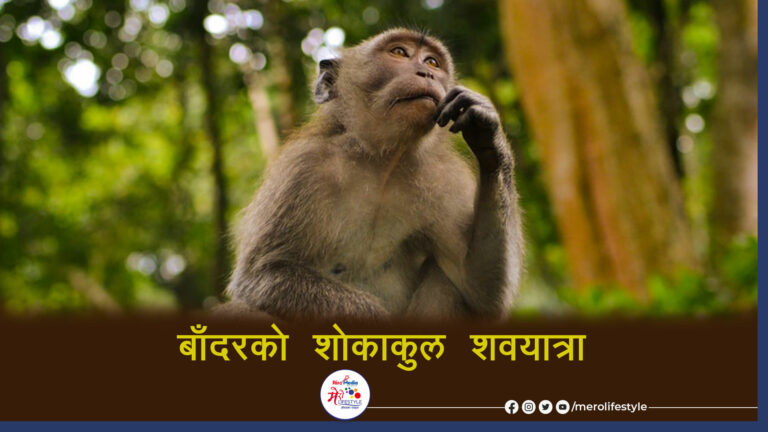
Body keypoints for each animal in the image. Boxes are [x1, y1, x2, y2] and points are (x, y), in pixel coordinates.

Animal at [221, 28, 523, 321]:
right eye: (399, 52)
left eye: (432, 62)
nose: (426, 73)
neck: (382, 161)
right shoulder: (301, 168)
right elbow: (263, 274)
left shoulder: (445, 180)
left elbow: (479, 291)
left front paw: (488, 132)